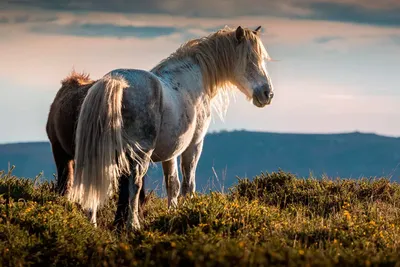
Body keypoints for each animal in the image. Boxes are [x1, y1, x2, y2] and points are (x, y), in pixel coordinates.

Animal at [69, 24, 276, 230]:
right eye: (249, 59)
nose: (268, 94)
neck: (191, 78)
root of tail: (116, 81)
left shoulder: (171, 153)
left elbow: (172, 185)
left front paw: (172, 213)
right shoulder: (194, 145)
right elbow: (187, 184)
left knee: (94, 183)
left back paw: (92, 224)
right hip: (140, 154)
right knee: (134, 184)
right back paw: (133, 225)